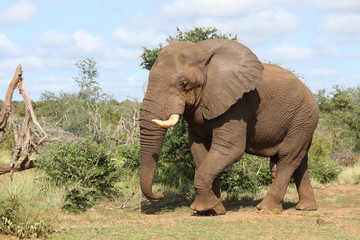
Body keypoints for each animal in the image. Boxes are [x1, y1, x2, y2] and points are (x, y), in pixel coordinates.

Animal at [139, 38, 320, 215]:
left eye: (184, 83)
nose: (160, 193)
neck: (203, 54)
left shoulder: (236, 105)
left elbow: (230, 149)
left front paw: (203, 208)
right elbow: (199, 150)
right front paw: (213, 210)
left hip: (303, 118)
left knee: (287, 158)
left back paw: (266, 209)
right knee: (300, 161)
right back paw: (306, 208)